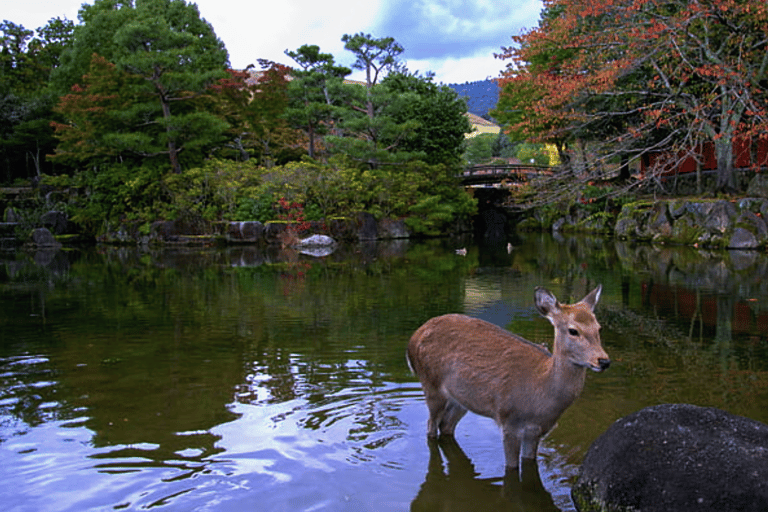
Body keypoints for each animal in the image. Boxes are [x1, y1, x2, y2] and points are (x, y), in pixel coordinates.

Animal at [404, 284, 608, 472]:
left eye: (598, 328)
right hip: (431, 384)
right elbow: (511, 468)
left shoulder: (537, 431)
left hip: (462, 399)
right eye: (573, 330)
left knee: (446, 426)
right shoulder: (510, 421)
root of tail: (413, 339)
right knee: (431, 426)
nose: (604, 361)